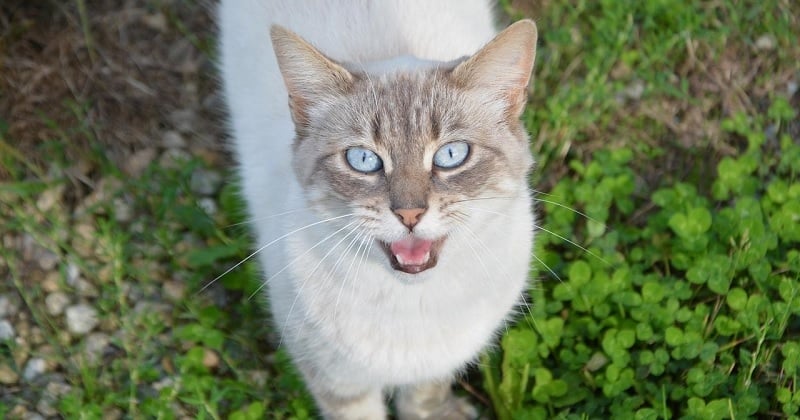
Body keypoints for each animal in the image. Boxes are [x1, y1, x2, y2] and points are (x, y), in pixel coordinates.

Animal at [217, 1, 536, 418]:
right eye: (364, 160)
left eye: (451, 155)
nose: (410, 214)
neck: (412, 304)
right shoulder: (336, 380)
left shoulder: (438, 362)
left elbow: (424, 397)